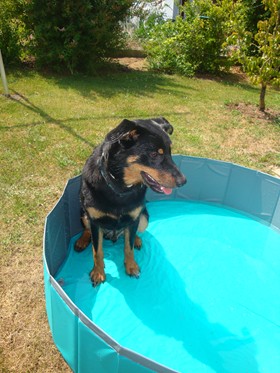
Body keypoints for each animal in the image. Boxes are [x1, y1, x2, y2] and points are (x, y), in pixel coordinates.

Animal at [75, 117, 187, 286]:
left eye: (170, 151)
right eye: (154, 154)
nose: (183, 181)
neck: (119, 188)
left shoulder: (134, 218)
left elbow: (128, 248)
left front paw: (131, 266)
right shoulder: (95, 220)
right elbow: (97, 251)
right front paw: (98, 272)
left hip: (144, 218)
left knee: (133, 235)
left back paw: (138, 240)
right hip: (83, 213)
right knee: (87, 229)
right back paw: (82, 240)